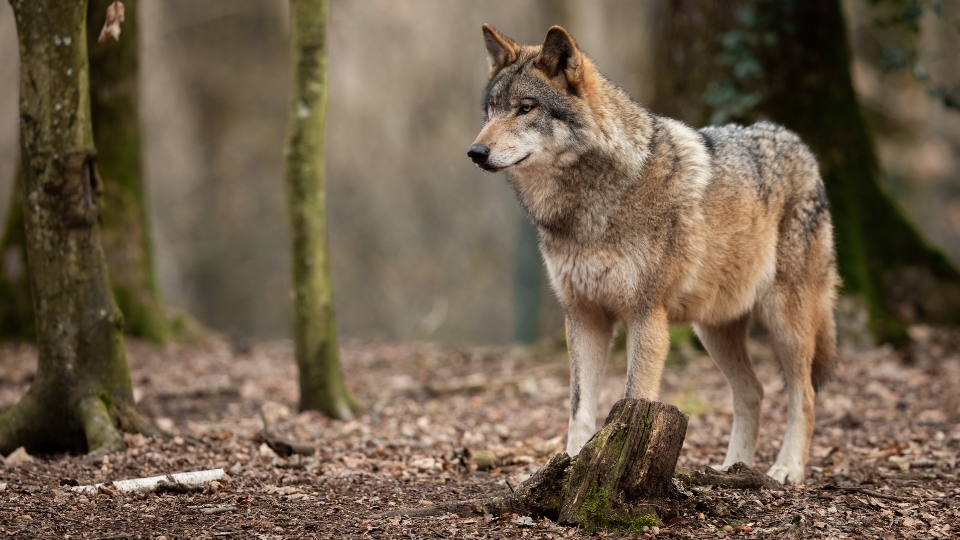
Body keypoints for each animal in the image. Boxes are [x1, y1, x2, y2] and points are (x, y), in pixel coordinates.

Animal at [468, 24, 838, 484]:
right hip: (713, 329)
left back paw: (787, 469)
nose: (475, 153)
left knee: (804, 395)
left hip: (785, 321)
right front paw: (570, 467)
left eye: (525, 108)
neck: (588, 206)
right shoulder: (584, 317)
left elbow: (633, 399)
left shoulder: (646, 316)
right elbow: (579, 409)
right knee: (753, 391)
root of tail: (799, 144)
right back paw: (732, 468)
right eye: (491, 111)